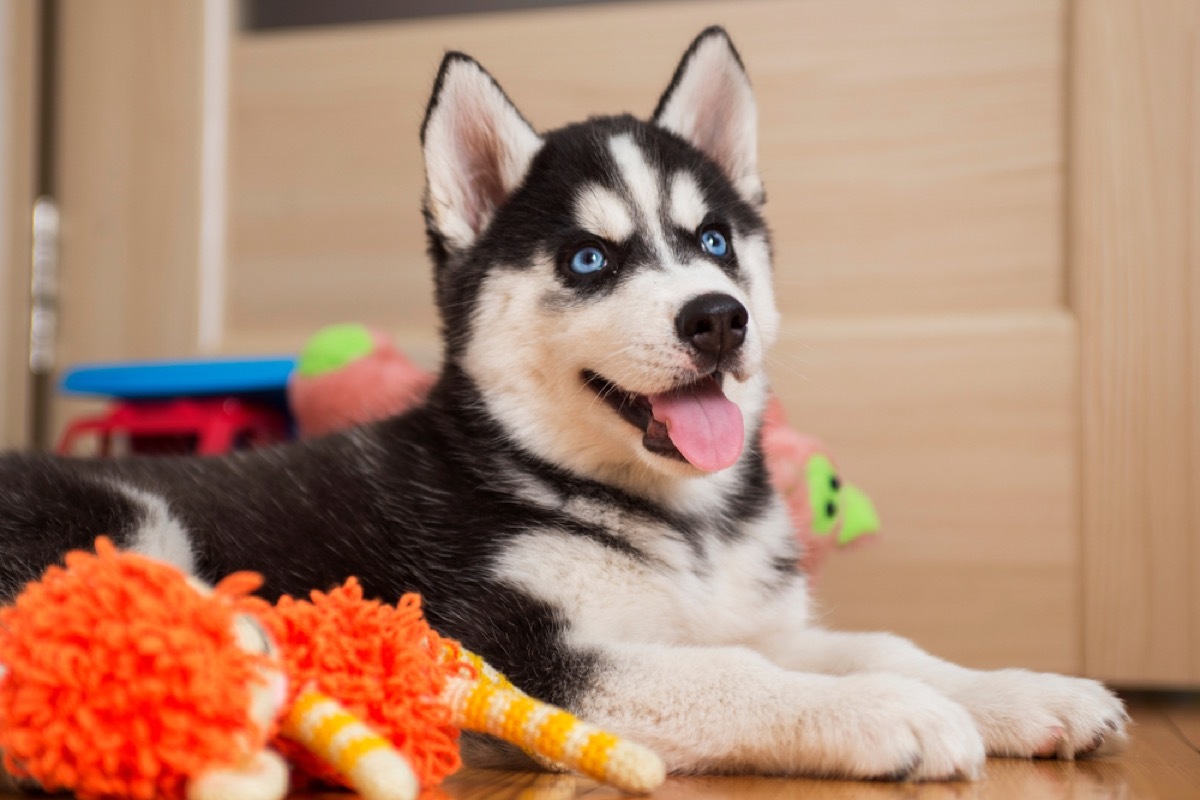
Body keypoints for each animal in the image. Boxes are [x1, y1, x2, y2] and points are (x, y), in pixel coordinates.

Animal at [0, 28, 1123, 777]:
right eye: (589, 258)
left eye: (714, 240)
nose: (717, 319)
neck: (674, 520)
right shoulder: (513, 645)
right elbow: (739, 677)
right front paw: (891, 711)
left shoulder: (746, 612)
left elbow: (881, 643)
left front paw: (1025, 690)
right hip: (126, 517)